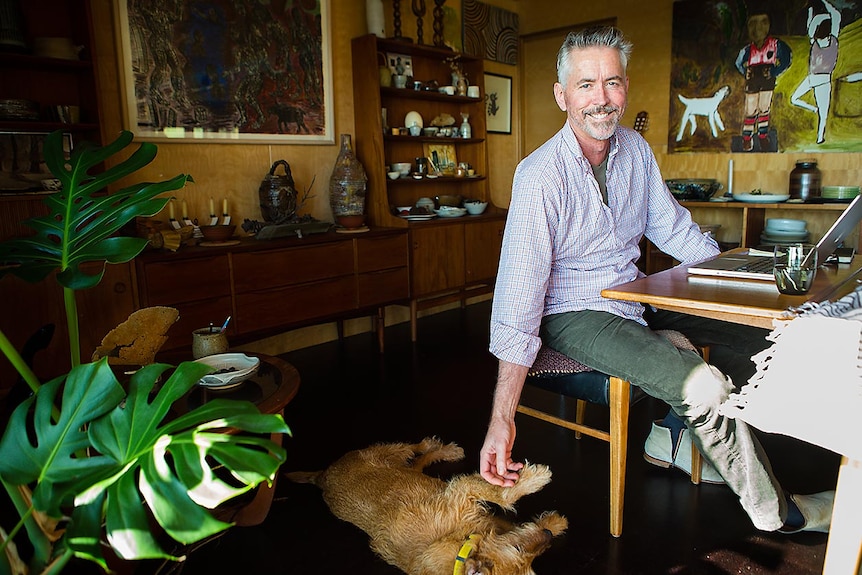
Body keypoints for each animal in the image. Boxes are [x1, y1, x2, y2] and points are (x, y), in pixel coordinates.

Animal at [286, 436, 568, 575]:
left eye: (532, 564)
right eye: (518, 549)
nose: (546, 535)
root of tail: (322, 476)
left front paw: (554, 523)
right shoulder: (461, 491)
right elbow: (502, 496)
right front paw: (535, 480)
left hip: (400, 464)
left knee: (418, 459)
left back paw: (446, 451)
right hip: (386, 453)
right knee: (413, 448)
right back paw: (434, 446)